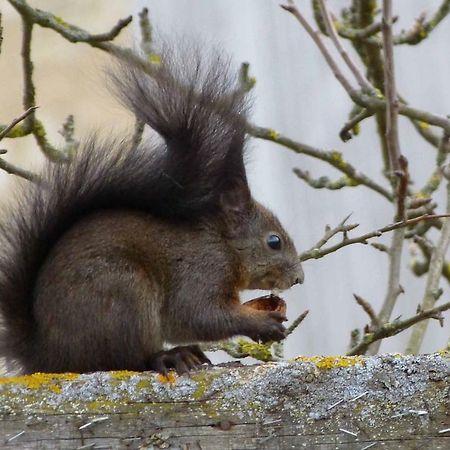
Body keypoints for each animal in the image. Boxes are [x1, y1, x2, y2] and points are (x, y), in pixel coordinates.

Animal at [0, 44, 304, 376]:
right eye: (274, 242)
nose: (298, 278)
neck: (222, 243)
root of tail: (46, 356)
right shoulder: (200, 272)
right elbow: (199, 315)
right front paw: (261, 323)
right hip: (124, 294)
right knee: (127, 359)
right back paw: (169, 356)